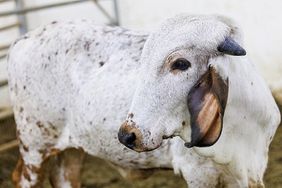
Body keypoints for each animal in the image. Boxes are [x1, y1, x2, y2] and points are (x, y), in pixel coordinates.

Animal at [7, 15, 280, 188]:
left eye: (181, 63)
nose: (127, 135)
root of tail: (22, 40)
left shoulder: (252, 169)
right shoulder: (198, 173)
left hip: (71, 147)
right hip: (34, 144)